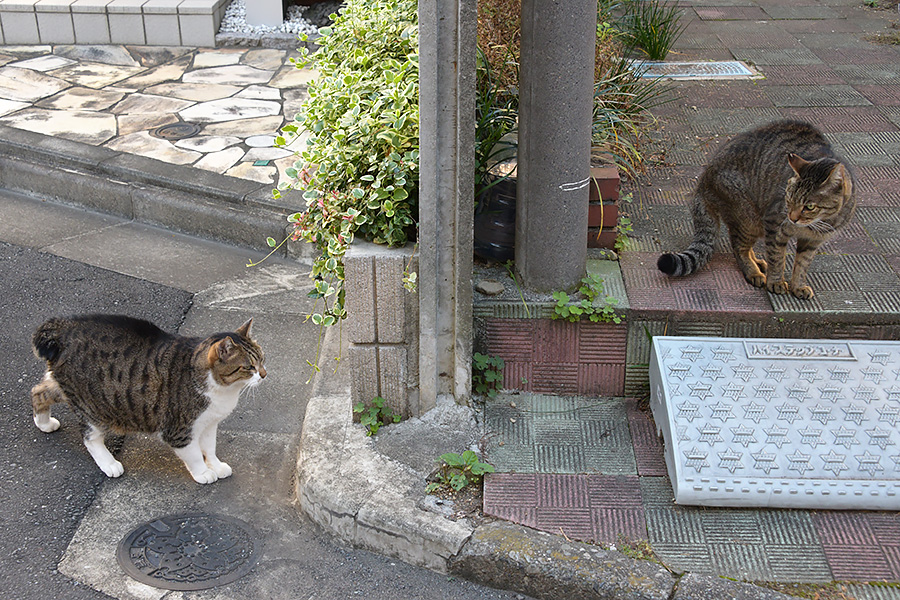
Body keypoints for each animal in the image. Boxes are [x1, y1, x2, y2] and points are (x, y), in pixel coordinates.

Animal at [31, 316, 264, 486]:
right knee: (90, 438)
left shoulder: (208, 423)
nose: (264, 374)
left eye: (262, 359)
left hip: (65, 388)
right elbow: (195, 454)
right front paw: (203, 473)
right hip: (93, 406)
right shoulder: (178, 431)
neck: (224, 390)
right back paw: (109, 463)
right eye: (248, 367)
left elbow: (209, 448)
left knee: (38, 391)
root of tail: (63, 326)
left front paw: (216, 466)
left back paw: (44, 423)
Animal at [656, 120, 856, 300]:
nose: (792, 217)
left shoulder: (812, 241)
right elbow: (777, 258)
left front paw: (798, 286)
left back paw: (757, 262)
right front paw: (775, 282)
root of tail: (704, 179)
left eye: (809, 206)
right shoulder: (774, 224)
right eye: (788, 199)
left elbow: (802, 265)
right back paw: (753, 272)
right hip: (750, 216)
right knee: (739, 247)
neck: (815, 224)